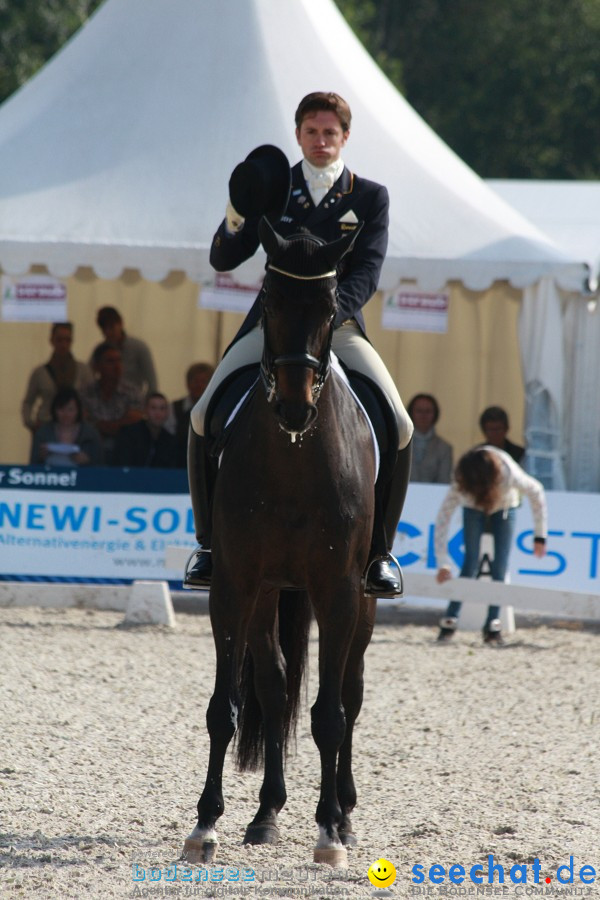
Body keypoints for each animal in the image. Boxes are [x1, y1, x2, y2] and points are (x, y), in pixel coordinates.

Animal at [183, 216, 378, 864]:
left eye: (331, 305)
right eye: (267, 299)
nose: (294, 408)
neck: (295, 455)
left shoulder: (339, 590)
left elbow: (331, 715)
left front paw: (329, 832)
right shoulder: (236, 584)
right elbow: (226, 707)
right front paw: (205, 825)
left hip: (364, 598)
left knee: (351, 691)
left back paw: (345, 813)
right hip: (271, 590)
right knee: (271, 685)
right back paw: (266, 812)